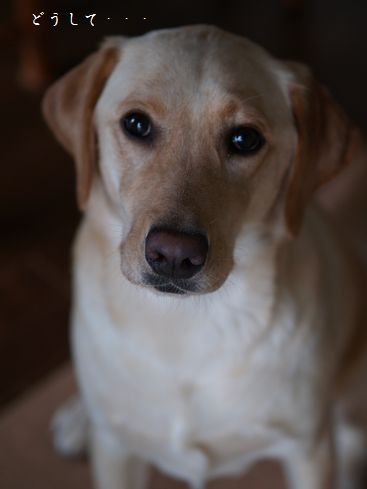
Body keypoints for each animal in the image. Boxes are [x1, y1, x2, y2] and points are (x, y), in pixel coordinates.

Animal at [41, 25, 366, 488]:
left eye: (245, 139)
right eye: (136, 124)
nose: (174, 255)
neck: (186, 327)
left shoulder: (308, 451)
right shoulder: (116, 452)